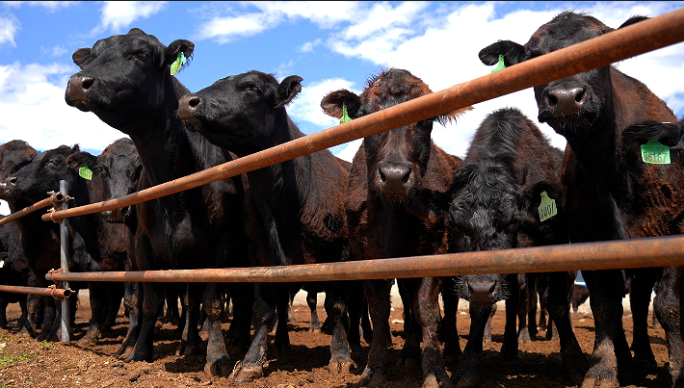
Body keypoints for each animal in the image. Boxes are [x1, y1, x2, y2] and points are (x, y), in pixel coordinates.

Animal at [63, 28, 251, 376]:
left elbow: (212, 302)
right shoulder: (142, 245)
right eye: (92, 54)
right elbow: (150, 300)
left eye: (141, 53)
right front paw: (138, 350)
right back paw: (188, 342)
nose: (78, 82)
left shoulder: (221, 244)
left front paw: (217, 357)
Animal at [176, 69, 360, 382]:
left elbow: (336, 306)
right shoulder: (259, 253)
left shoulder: (340, 251)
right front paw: (251, 360)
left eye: (254, 88)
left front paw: (341, 356)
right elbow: (264, 308)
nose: (187, 102)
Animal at [320, 69, 470, 388]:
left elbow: (428, 310)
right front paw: (375, 368)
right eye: (366, 116)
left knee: (447, 305)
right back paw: (410, 352)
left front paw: (435, 371)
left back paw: (449, 350)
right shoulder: (366, 256)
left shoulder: (435, 250)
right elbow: (379, 310)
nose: (393, 175)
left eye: (426, 119)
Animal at [448, 107, 584, 386]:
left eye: (511, 220)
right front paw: (468, 365)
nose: (481, 286)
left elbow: (555, 301)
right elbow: (482, 306)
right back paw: (510, 345)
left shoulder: (554, 241)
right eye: (455, 222)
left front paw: (574, 361)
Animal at [478, 10, 684, 386]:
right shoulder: (590, 238)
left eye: (602, 43)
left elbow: (667, 304)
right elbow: (604, 306)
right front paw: (602, 369)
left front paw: (677, 369)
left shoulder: (676, 225)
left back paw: (645, 356)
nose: (565, 96)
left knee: (641, 300)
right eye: (533, 56)